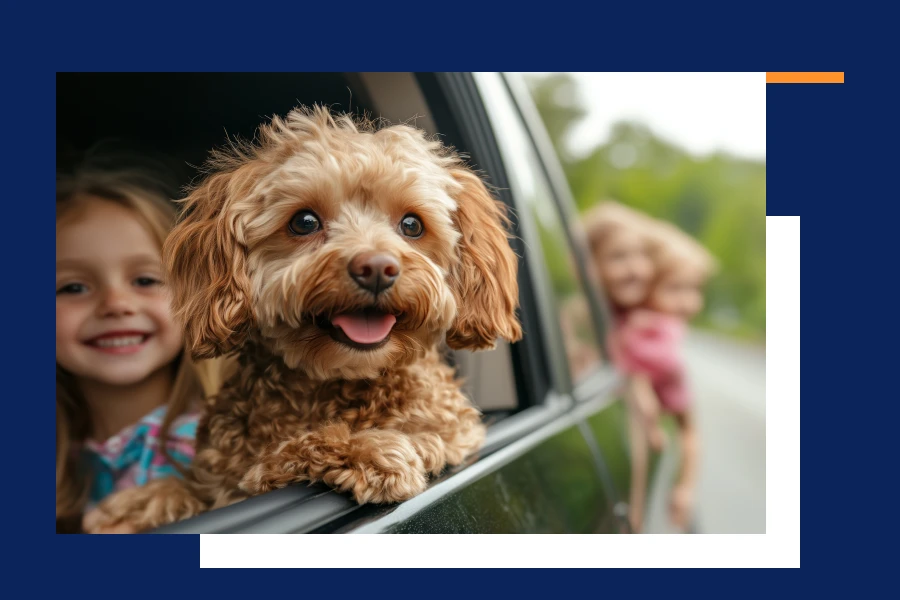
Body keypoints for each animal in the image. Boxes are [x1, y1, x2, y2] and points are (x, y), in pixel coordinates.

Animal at [84, 105, 524, 532]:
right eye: (305, 222)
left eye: (412, 225)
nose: (376, 268)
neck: (337, 385)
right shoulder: (217, 481)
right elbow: (199, 484)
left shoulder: (454, 434)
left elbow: (284, 456)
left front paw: (372, 449)